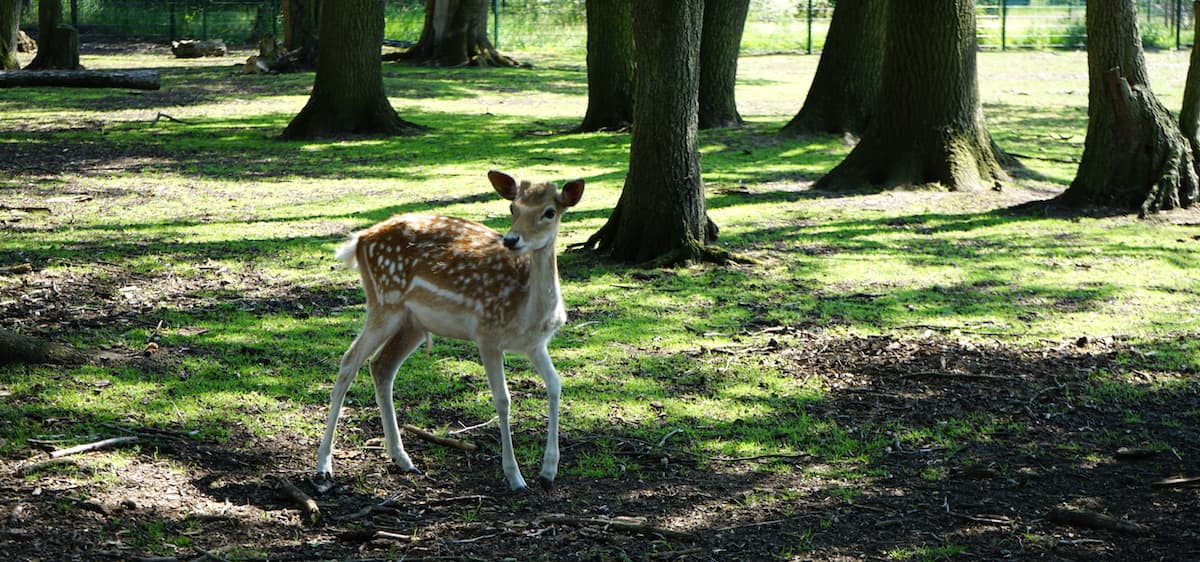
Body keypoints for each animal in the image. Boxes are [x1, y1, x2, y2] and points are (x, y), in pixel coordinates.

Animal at [316, 169, 583, 489]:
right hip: (384, 303)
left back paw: (403, 459)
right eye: (512, 207)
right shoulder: (487, 333)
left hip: (413, 323)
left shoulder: (535, 344)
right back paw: (323, 465)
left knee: (380, 365)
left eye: (550, 212)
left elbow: (555, 385)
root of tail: (359, 240)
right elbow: (503, 400)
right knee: (349, 362)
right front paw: (514, 476)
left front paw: (548, 471)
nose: (511, 239)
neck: (527, 312)